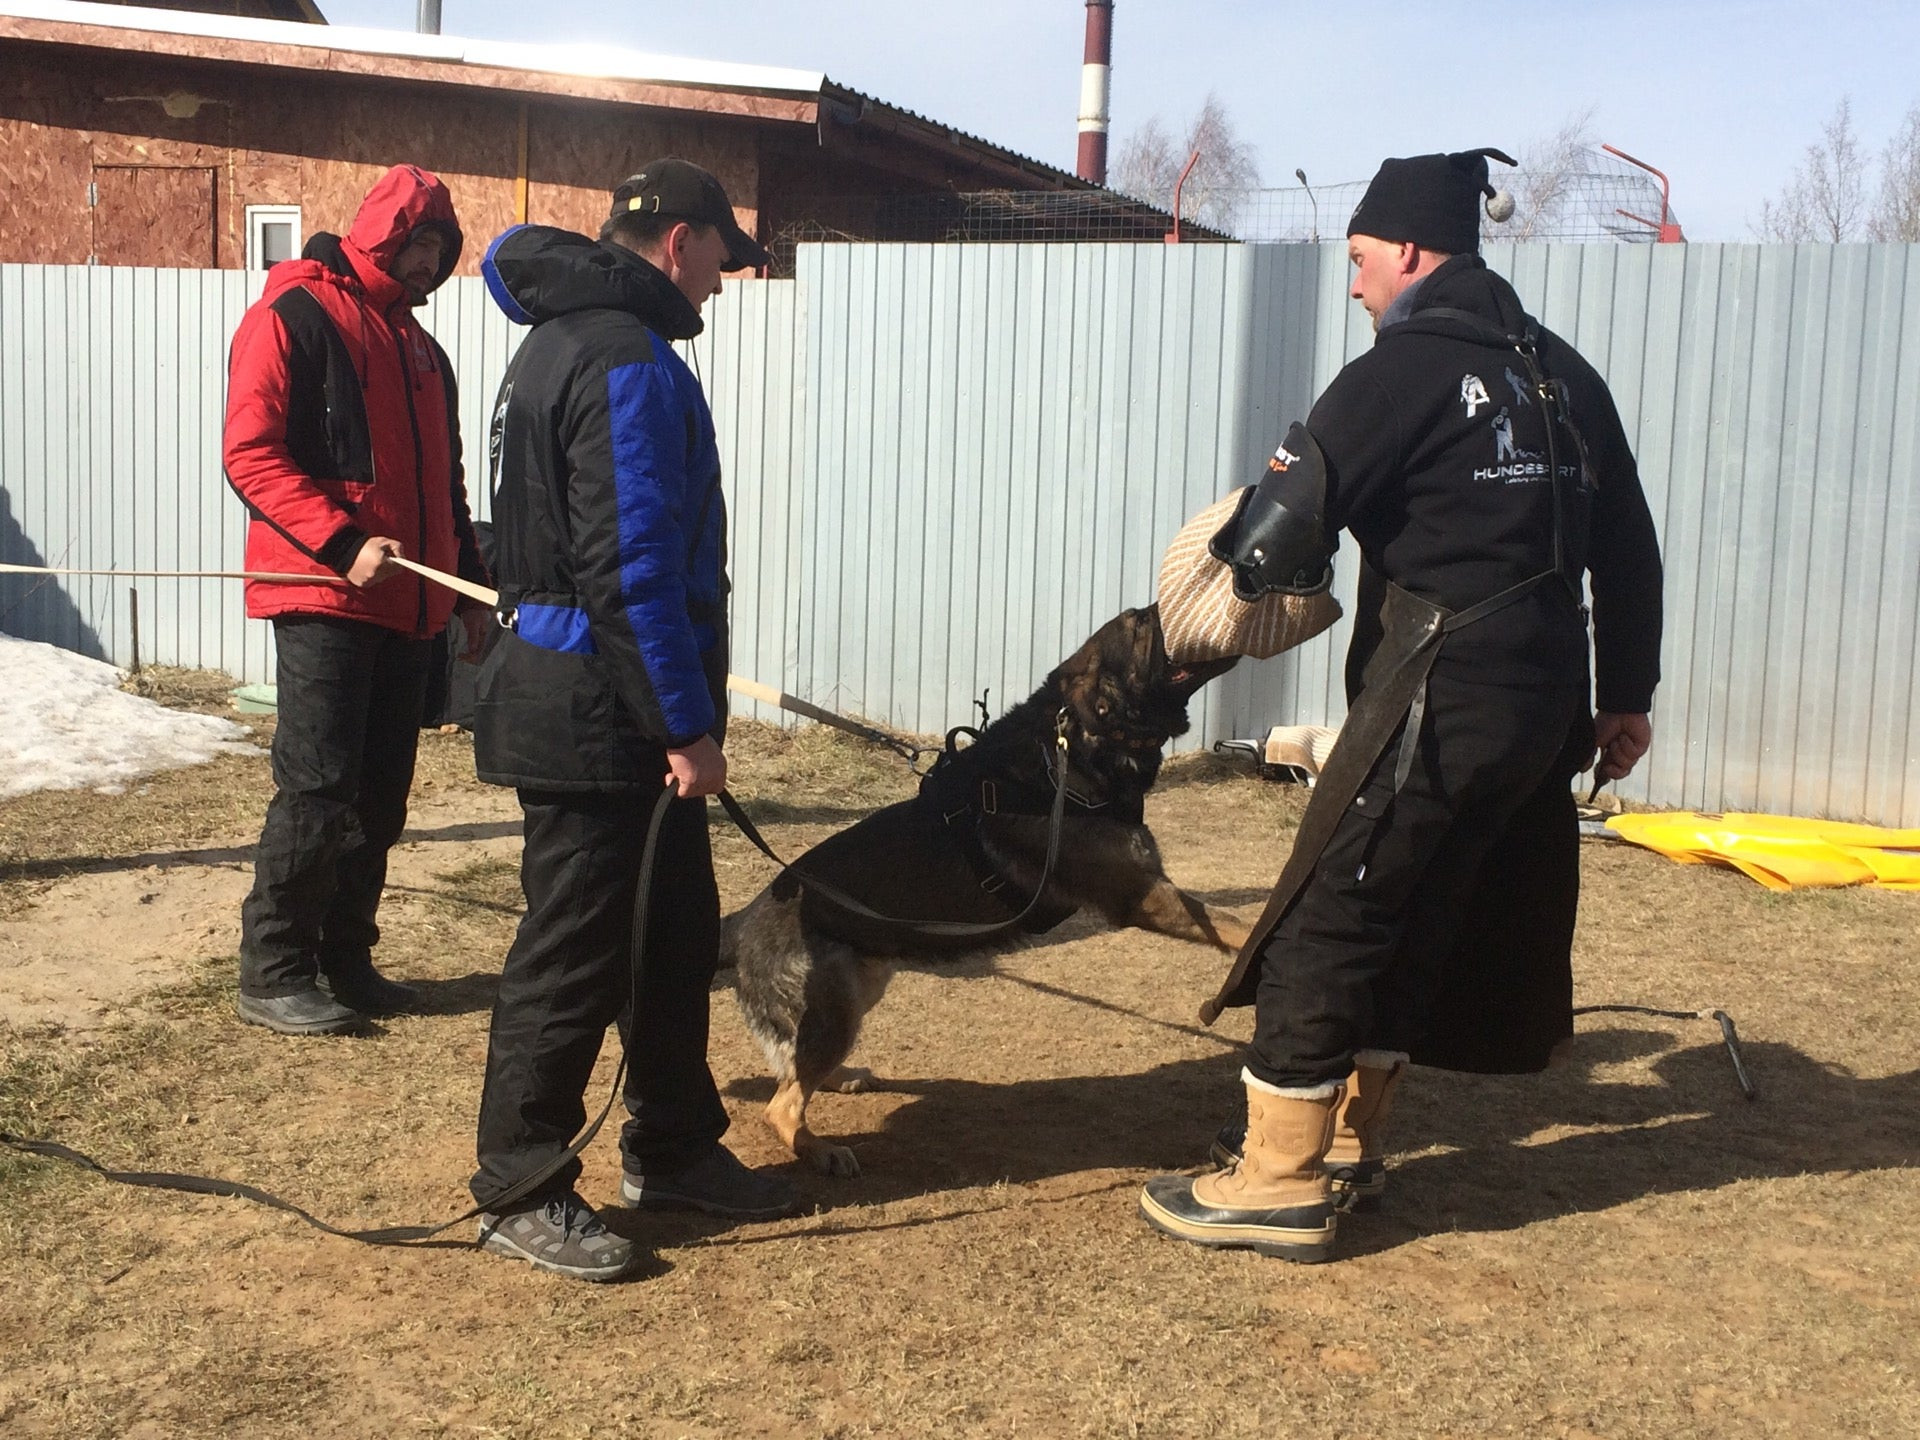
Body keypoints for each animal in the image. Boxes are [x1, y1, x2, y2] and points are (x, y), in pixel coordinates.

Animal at [721, 602, 1244, 1175]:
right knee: (782, 1105)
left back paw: (841, 1079)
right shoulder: (1144, 896)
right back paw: (820, 1148)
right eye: (1142, 624)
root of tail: (743, 923)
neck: (1075, 745)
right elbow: (1237, 925)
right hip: (835, 1009)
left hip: (860, 988)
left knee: (797, 1068)